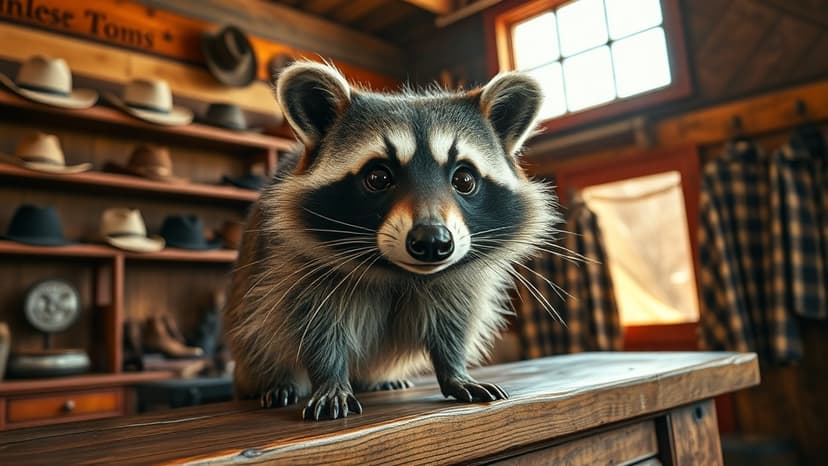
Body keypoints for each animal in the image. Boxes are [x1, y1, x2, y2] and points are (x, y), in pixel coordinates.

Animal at [225, 62, 559, 421]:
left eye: (464, 179)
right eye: (378, 177)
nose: (432, 240)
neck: (398, 273)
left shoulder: (459, 283)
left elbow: (452, 324)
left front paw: (454, 371)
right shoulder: (290, 266)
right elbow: (311, 327)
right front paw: (329, 379)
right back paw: (280, 383)